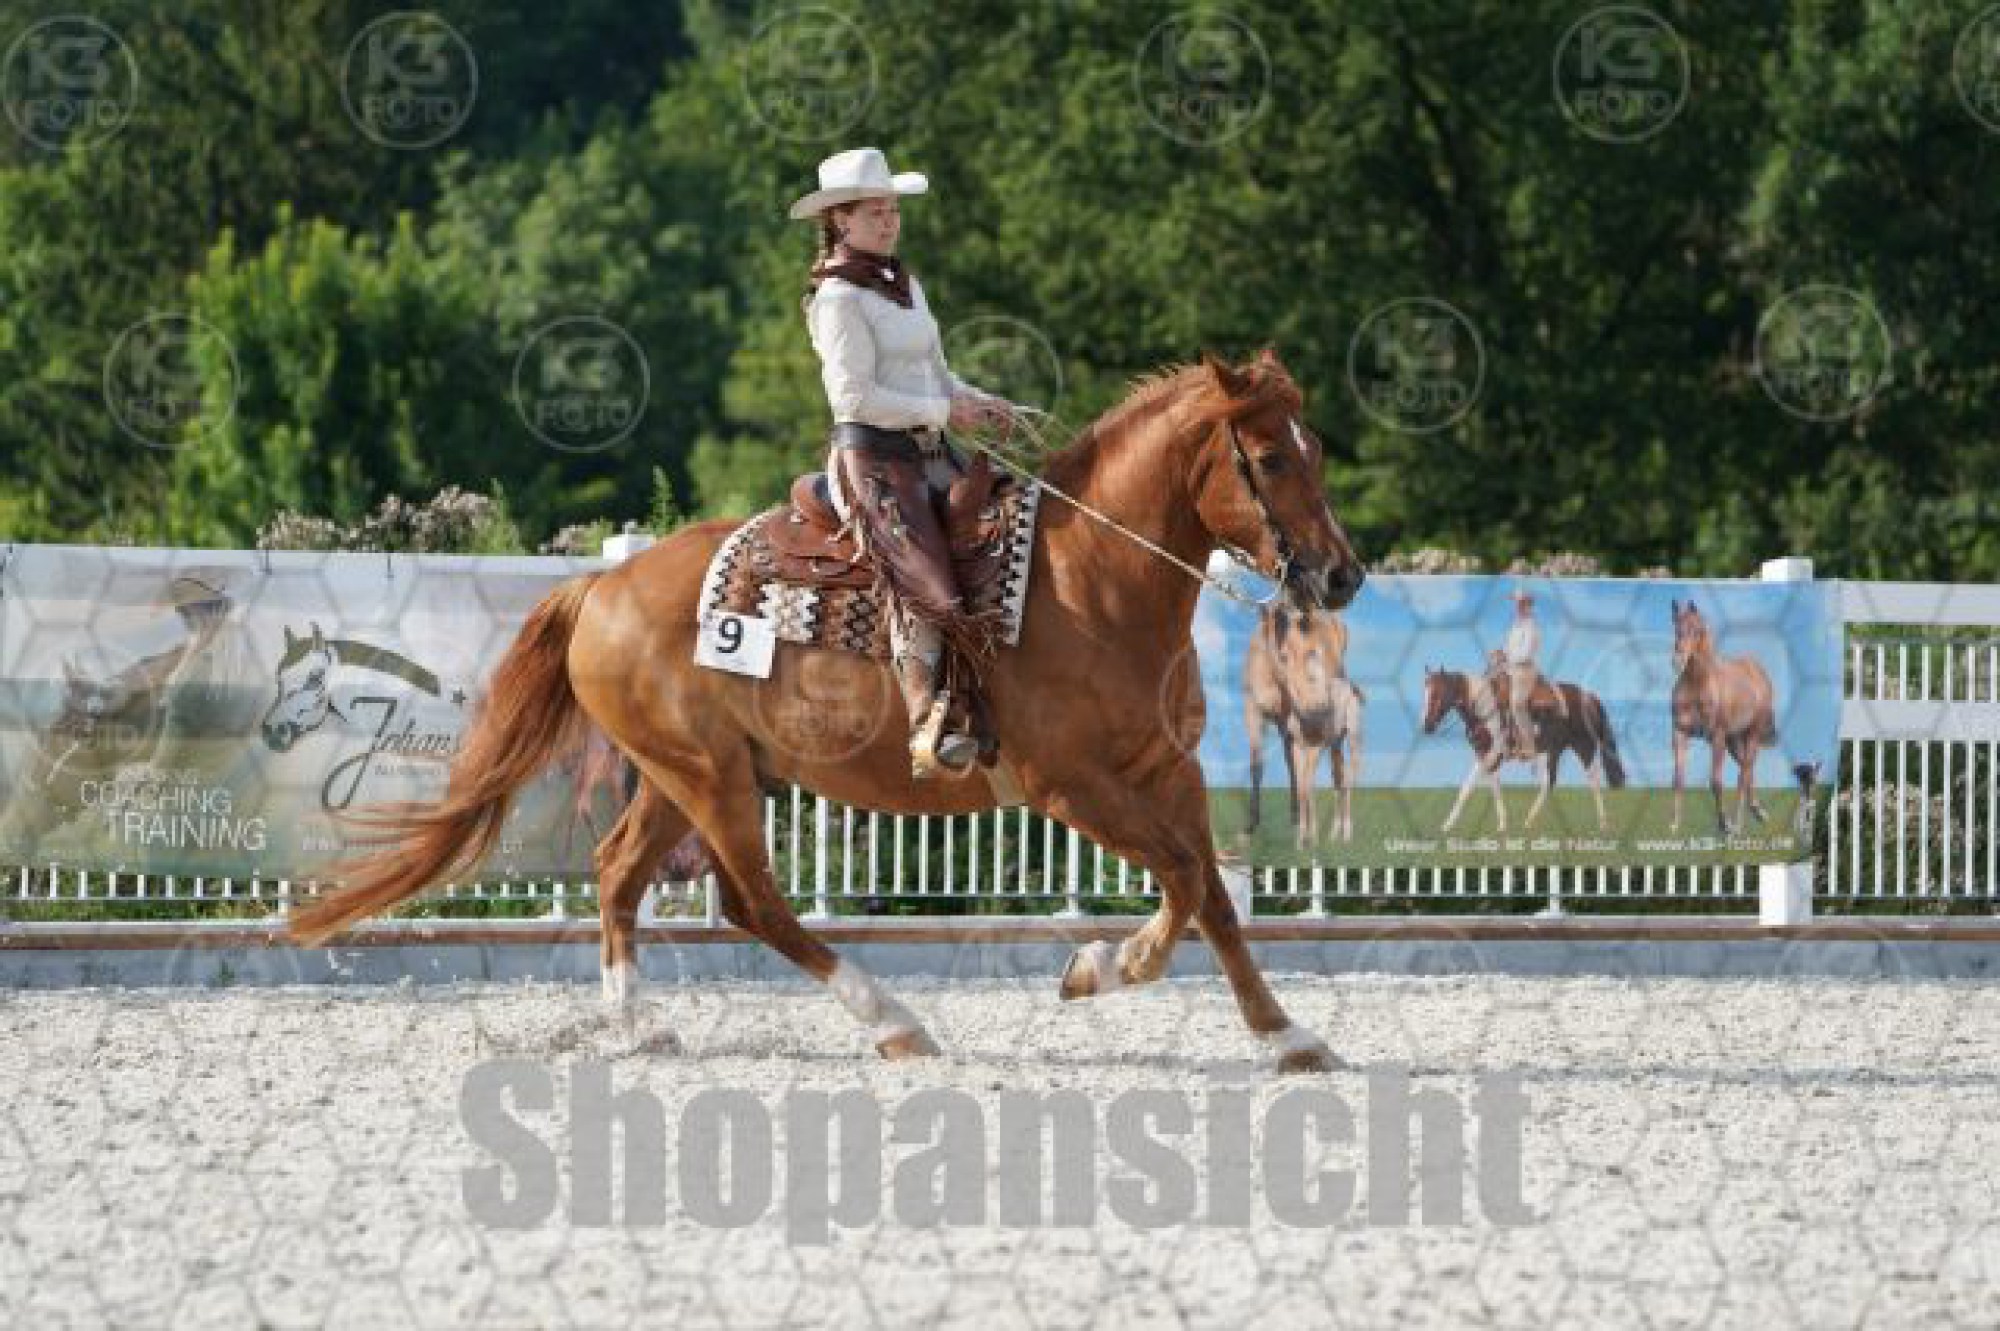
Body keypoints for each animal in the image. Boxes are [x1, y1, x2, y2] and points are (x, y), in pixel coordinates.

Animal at [1242, 607, 1363, 845]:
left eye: (1315, 654)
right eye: (1283, 656)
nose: (1320, 709)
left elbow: (1299, 775)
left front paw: (1301, 825)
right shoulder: (1253, 712)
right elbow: (1258, 765)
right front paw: (1250, 826)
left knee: (1341, 775)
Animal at [1420, 666, 1626, 833]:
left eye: (1436, 694)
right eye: (1425, 693)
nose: (1426, 726)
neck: (1486, 709)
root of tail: (1589, 696)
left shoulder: (1492, 754)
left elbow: (1470, 788)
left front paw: (1448, 825)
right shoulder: (1484, 755)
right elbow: (1486, 788)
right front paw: (1501, 824)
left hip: (1583, 747)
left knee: (1592, 781)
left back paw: (1602, 823)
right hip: (1554, 750)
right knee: (1550, 782)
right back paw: (1531, 821)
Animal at [1669, 600, 1777, 834]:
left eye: (1697, 631)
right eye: (1676, 628)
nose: (1677, 661)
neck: (1698, 685)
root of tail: (1758, 671)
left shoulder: (1716, 737)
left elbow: (1715, 782)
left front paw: (1724, 823)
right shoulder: (1680, 733)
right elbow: (1678, 779)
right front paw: (1674, 824)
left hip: (1751, 734)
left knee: (1743, 774)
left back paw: (1738, 824)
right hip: (1734, 739)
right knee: (1747, 767)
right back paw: (1757, 810)